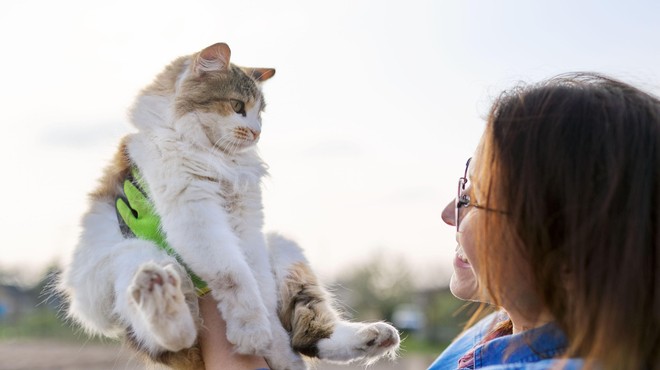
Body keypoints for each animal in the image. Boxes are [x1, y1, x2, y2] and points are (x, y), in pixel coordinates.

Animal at [58, 42, 398, 368]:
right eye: (237, 107)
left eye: (260, 114)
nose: (257, 132)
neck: (217, 157)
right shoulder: (195, 214)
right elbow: (235, 275)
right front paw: (253, 334)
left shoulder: (247, 223)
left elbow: (260, 291)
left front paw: (273, 347)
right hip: (134, 256)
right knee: (178, 335)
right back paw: (163, 298)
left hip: (283, 247)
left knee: (307, 332)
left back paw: (375, 336)